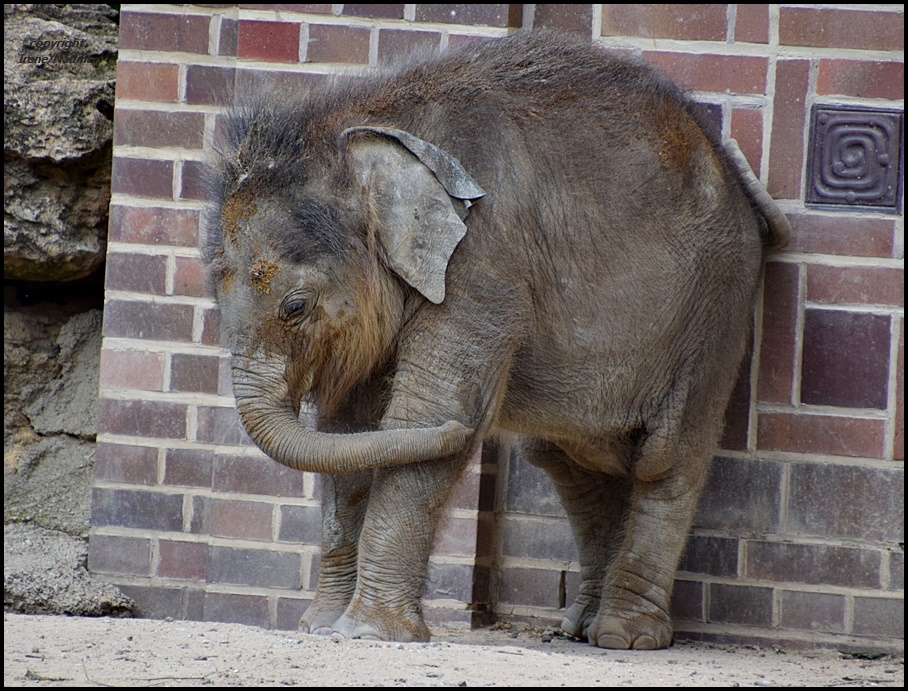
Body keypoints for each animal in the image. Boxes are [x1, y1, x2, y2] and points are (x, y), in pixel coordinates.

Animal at [206, 29, 788, 648]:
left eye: (294, 307)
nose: (468, 434)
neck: (362, 126)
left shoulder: (484, 255)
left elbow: (423, 410)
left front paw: (364, 634)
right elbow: (349, 430)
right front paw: (319, 628)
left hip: (717, 306)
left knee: (664, 460)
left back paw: (624, 636)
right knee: (567, 461)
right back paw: (580, 626)